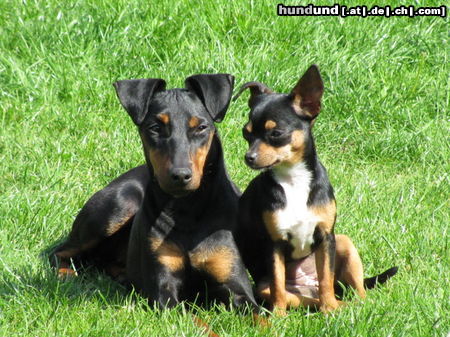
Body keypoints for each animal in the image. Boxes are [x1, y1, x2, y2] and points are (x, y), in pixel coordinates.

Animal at [234, 65, 396, 316]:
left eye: (276, 133)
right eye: (246, 133)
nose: (248, 157)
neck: (294, 179)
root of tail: (306, 287)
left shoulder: (325, 237)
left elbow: (326, 278)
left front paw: (329, 310)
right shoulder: (275, 244)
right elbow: (278, 284)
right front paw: (278, 317)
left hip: (344, 242)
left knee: (350, 290)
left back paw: (346, 306)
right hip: (268, 288)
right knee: (298, 297)